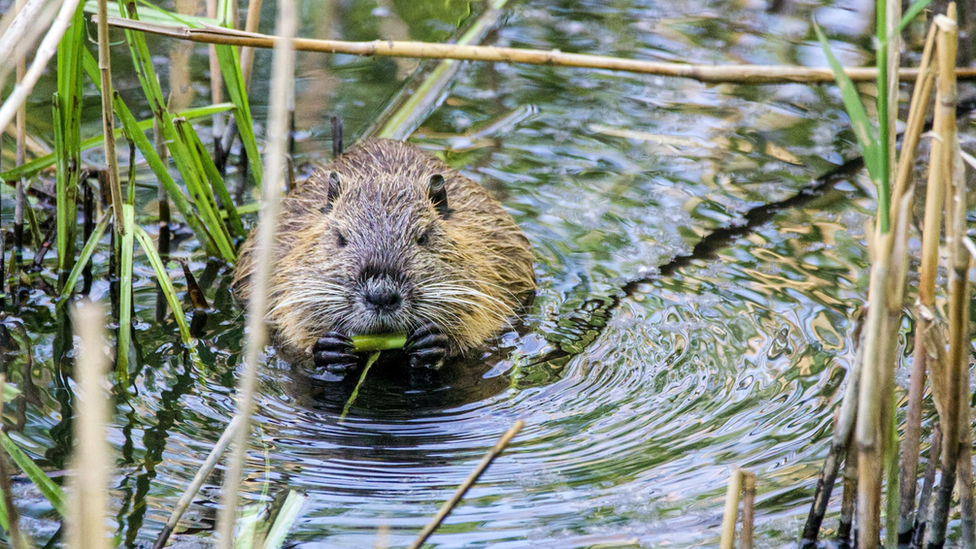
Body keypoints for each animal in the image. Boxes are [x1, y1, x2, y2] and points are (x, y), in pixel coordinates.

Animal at [234, 138, 536, 372]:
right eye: (341, 238)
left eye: (423, 237)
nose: (381, 295)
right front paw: (329, 348)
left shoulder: (489, 256)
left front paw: (434, 342)